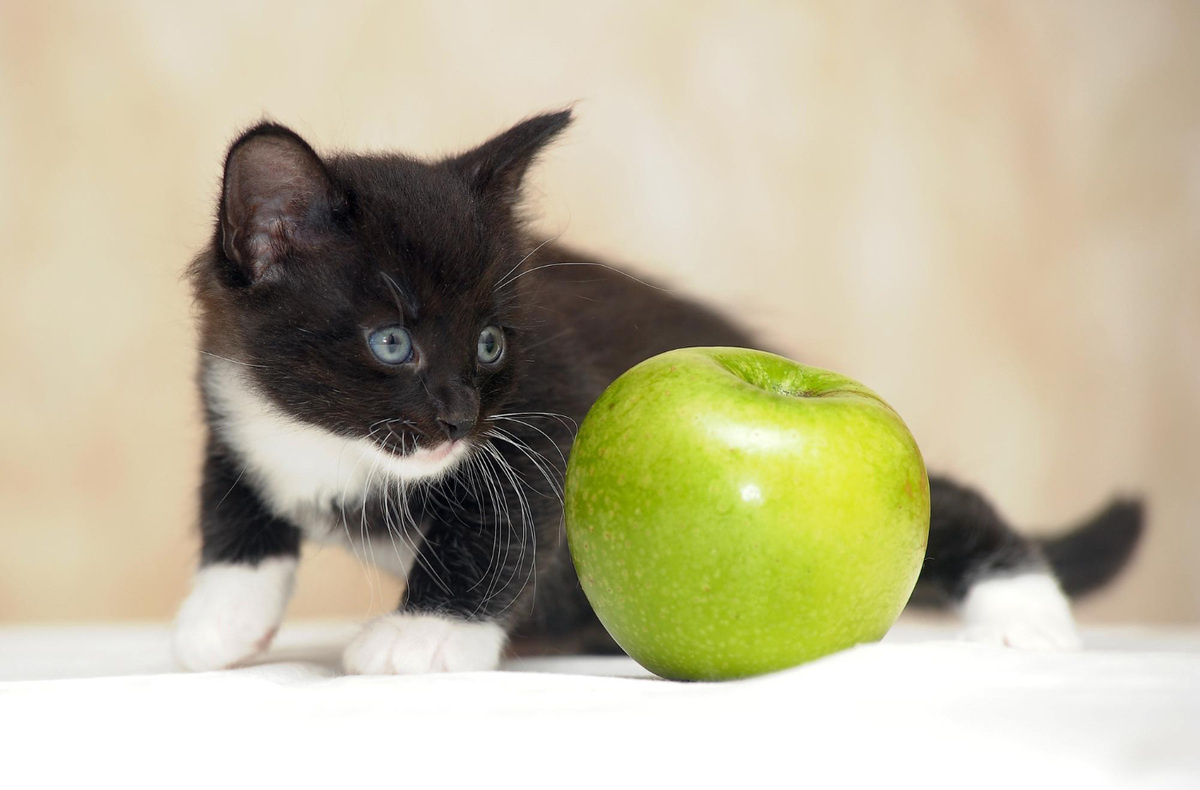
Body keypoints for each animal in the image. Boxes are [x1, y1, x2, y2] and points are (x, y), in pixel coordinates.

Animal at [171, 110, 1142, 672]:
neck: (332, 445)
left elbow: (494, 528)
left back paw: (1026, 618)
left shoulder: (547, 410)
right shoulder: (234, 401)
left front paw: (427, 635)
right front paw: (219, 618)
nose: (456, 417)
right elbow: (234, 507)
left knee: (955, 500)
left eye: (490, 342)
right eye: (391, 342)